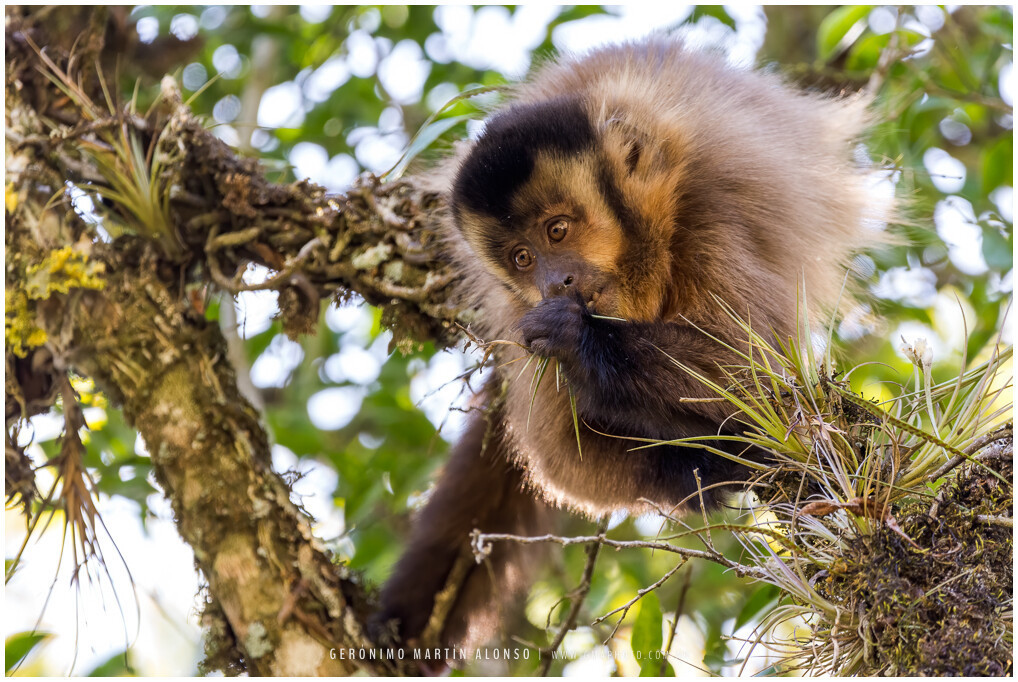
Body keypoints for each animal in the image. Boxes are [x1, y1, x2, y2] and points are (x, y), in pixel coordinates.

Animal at [372, 37, 883, 663]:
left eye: (558, 231)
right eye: (522, 258)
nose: (555, 282)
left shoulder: (708, 212)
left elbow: (748, 367)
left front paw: (578, 339)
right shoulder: (516, 311)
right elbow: (561, 458)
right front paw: (711, 469)